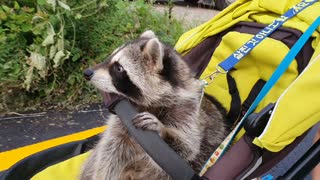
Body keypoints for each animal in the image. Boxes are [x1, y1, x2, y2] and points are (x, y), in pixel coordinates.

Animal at [81, 31, 229, 180]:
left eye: (118, 68)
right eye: (110, 57)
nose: (87, 73)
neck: (148, 104)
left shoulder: (187, 111)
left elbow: (186, 149)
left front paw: (161, 130)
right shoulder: (121, 123)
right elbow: (109, 152)